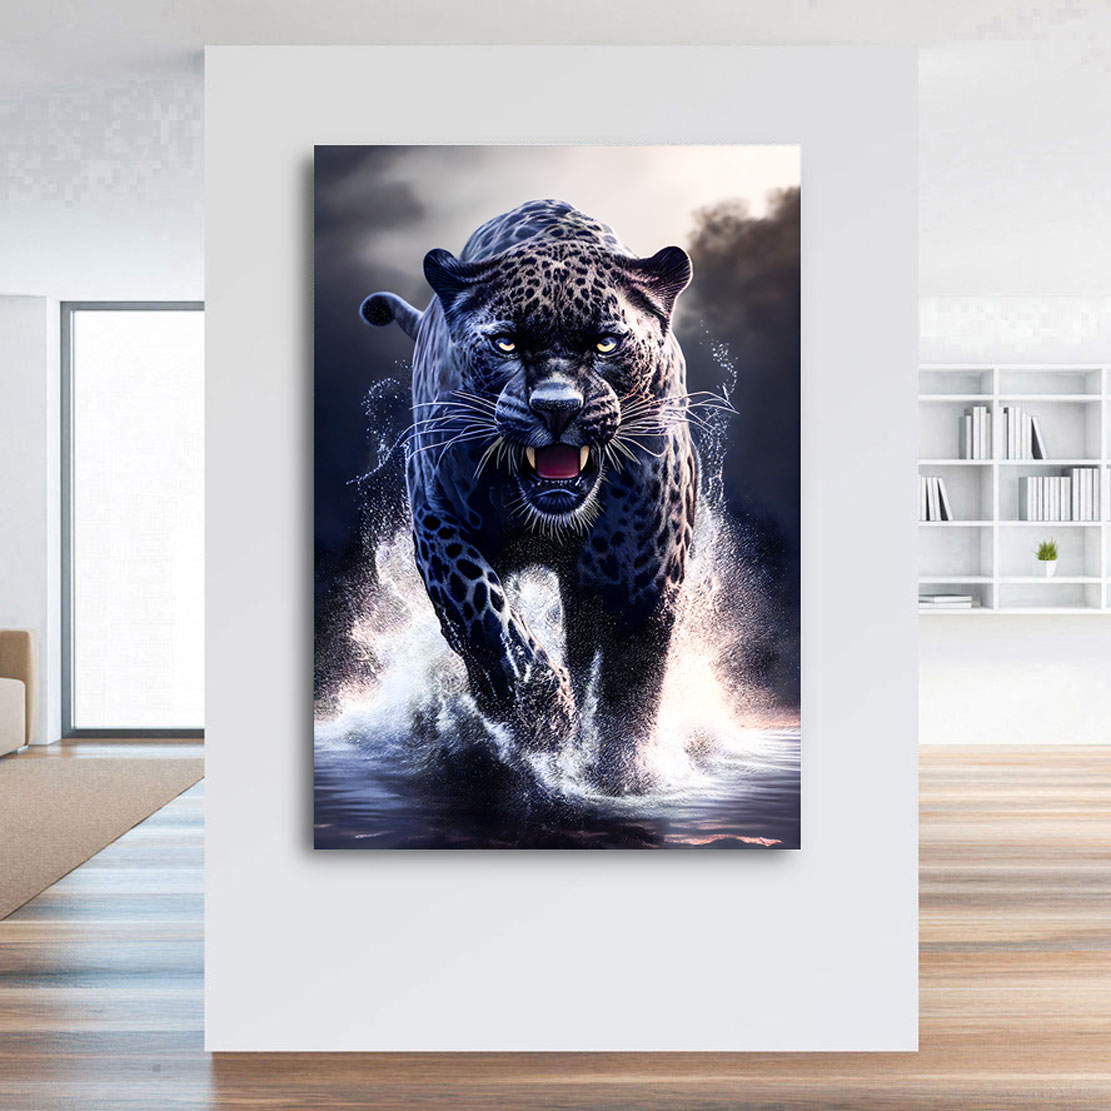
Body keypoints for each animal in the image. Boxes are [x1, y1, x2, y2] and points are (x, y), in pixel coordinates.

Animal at [360, 199, 697, 792]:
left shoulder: (644, 575)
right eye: (506, 343)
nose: (556, 406)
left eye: (606, 343)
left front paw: (619, 774)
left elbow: (630, 685)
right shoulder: (438, 519)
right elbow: (480, 609)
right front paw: (540, 711)